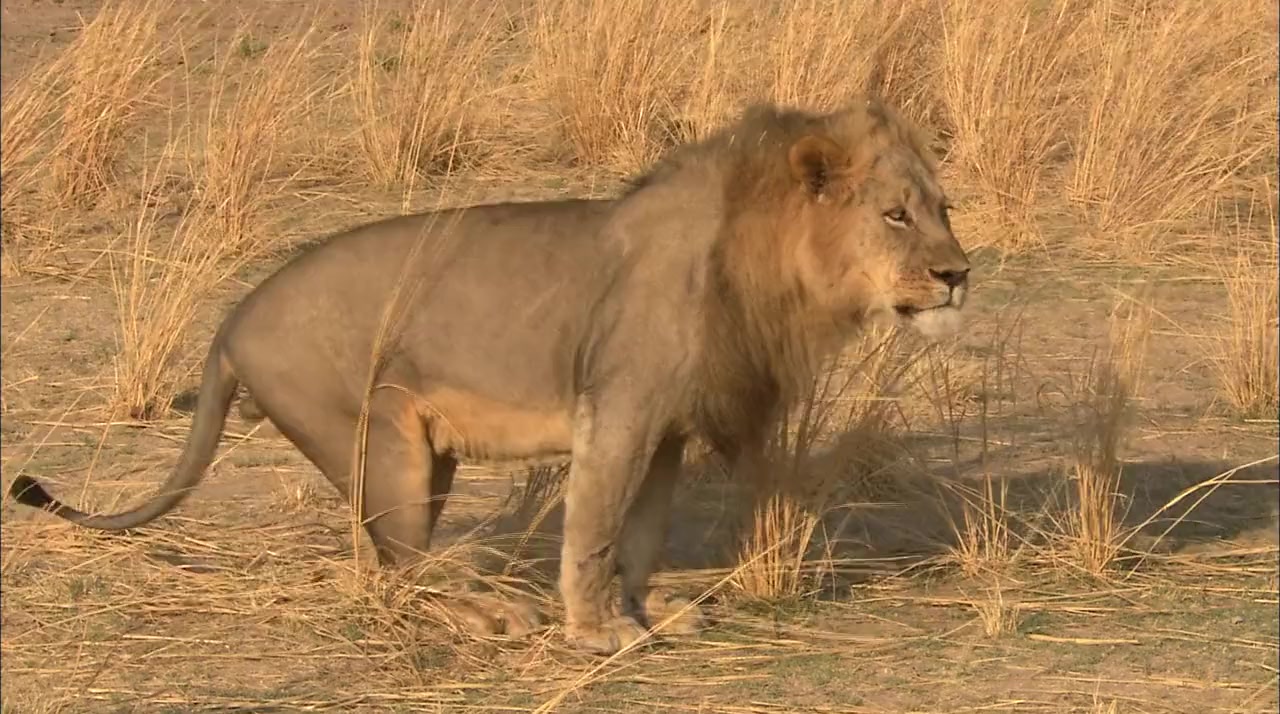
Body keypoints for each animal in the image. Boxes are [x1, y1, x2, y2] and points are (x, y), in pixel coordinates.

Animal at [9, 97, 972, 655]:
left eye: (943, 209)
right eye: (895, 216)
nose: (960, 274)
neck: (767, 262)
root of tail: (230, 322)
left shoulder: (665, 427)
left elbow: (643, 532)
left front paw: (645, 610)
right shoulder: (618, 408)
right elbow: (593, 527)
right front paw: (597, 633)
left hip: (422, 459)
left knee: (393, 567)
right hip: (380, 446)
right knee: (396, 572)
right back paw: (496, 617)